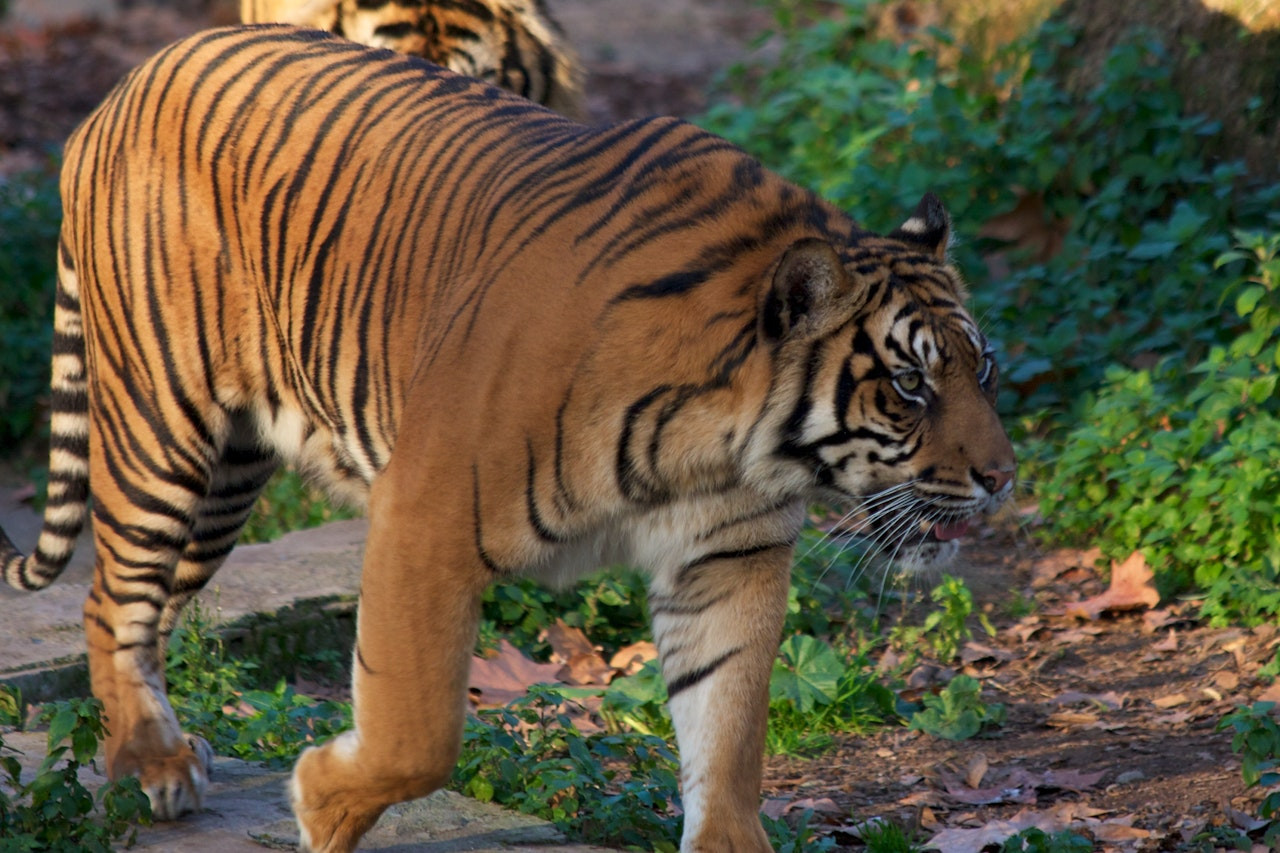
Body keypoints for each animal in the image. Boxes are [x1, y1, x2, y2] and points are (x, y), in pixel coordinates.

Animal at [2, 26, 1018, 850]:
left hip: (229, 475)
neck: (725, 446)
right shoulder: (424, 516)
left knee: (145, 601)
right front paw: (321, 800)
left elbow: (727, 739)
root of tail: (128, 85)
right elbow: (416, 731)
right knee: (113, 594)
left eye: (985, 367)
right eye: (909, 384)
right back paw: (151, 764)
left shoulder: (731, 560)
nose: (1004, 478)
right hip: (162, 428)